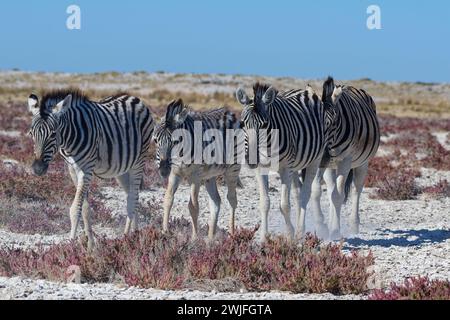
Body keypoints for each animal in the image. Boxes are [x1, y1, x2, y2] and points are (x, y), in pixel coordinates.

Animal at [28, 89, 156, 249]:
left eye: (53, 133)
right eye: (31, 133)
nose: (38, 169)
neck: (69, 140)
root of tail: (134, 98)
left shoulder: (86, 169)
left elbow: (75, 209)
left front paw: (71, 245)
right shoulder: (72, 169)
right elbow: (85, 208)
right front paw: (90, 245)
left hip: (139, 161)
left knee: (133, 198)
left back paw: (127, 239)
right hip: (122, 168)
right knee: (132, 195)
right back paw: (135, 234)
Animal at [152, 99, 243, 240]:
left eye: (174, 141)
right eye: (156, 141)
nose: (163, 170)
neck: (180, 154)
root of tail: (229, 113)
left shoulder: (194, 176)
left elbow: (193, 206)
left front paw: (195, 238)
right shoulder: (175, 173)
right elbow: (168, 200)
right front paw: (164, 232)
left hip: (232, 169)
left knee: (232, 199)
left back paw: (232, 235)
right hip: (209, 175)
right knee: (216, 201)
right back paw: (210, 239)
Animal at [236, 83, 326, 242]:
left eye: (264, 124)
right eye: (242, 124)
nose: (251, 161)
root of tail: (304, 89)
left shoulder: (285, 168)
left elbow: (284, 205)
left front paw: (289, 235)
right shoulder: (261, 168)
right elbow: (264, 203)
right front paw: (264, 238)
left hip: (314, 159)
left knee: (305, 194)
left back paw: (299, 232)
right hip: (295, 166)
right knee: (297, 194)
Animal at [312, 76, 382, 239]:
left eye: (333, 124)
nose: (323, 157)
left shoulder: (345, 161)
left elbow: (338, 196)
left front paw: (335, 231)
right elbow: (316, 190)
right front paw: (321, 225)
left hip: (362, 163)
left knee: (356, 190)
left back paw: (353, 225)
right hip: (330, 167)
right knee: (331, 190)